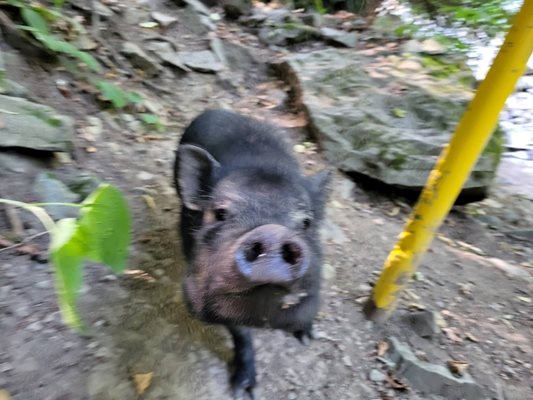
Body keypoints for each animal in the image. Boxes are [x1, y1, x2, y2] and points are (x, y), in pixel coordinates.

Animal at [172, 108, 330, 396]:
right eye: (220, 213)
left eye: (307, 222)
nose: (273, 232)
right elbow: (240, 332)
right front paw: (243, 392)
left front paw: (307, 338)